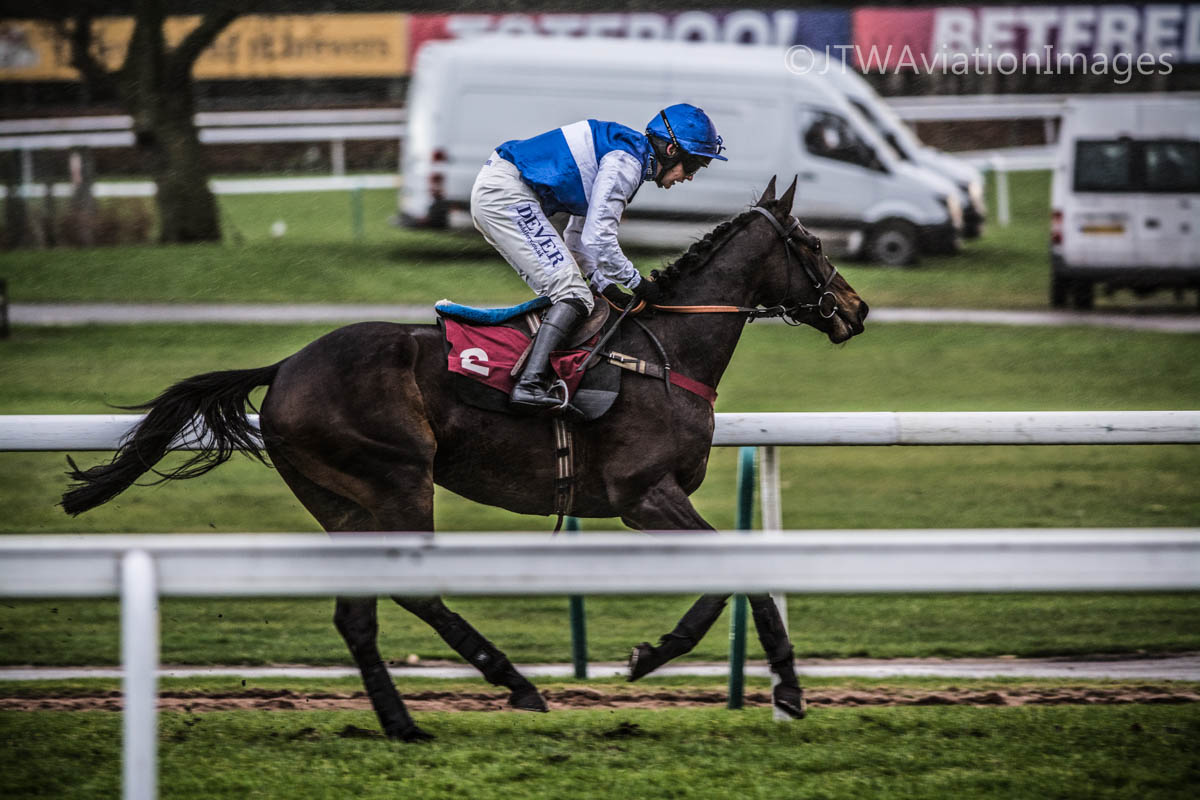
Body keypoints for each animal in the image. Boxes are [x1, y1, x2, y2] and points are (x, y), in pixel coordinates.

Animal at [63, 178, 864, 743]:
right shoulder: (643, 495)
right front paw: (691, 664)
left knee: (357, 615)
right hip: (397, 480)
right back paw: (514, 683)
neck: (663, 353)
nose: (856, 310)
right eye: (813, 243)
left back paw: (403, 723)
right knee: (414, 593)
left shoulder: (656, 499)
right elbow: (735, 573)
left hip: (347, 504)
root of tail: (285, 366)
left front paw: (770, 683)